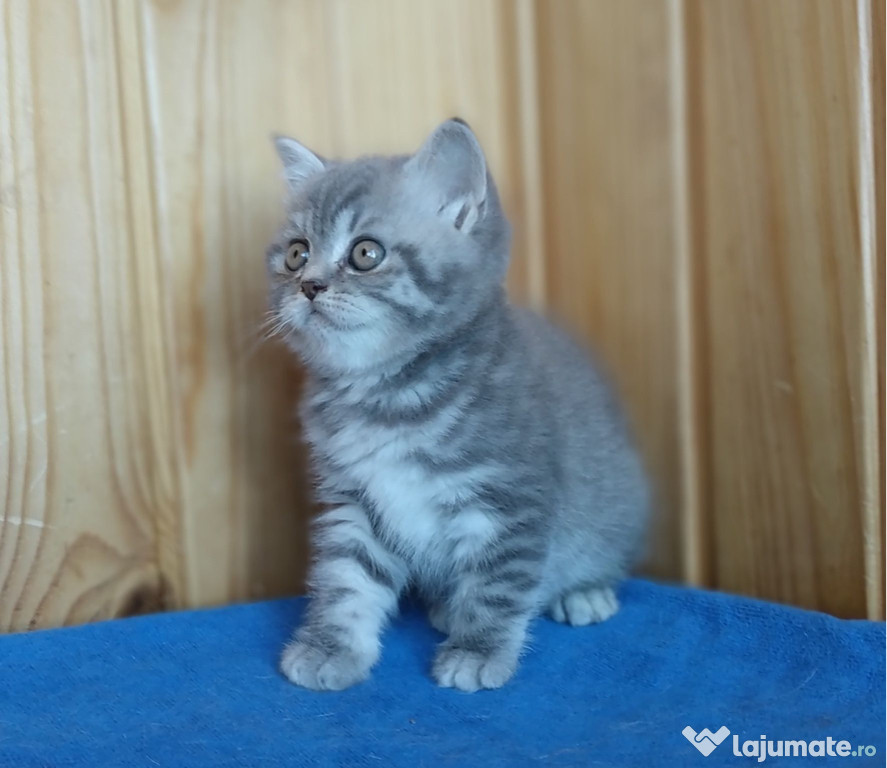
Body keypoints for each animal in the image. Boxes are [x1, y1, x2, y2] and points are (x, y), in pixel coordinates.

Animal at [266, 120, 652, 696]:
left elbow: (496, 584)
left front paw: (477, 651)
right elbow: (346, 579)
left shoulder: (509, 502)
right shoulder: (353, 501)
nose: (308, 285)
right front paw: (331, 646)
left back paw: (582, 592)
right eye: (295, 253)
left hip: (615, 504)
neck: (388, 397)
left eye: (365, 253)